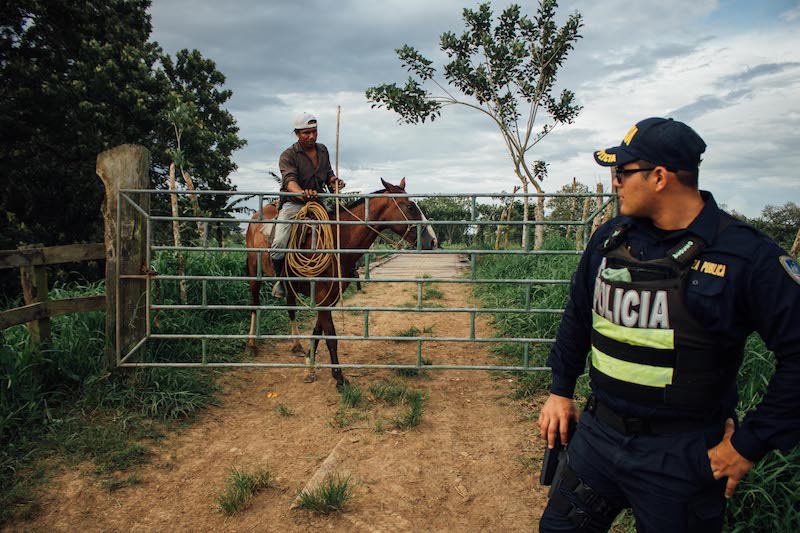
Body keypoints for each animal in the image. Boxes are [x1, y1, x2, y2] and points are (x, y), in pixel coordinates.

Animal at [245, 177, 438, 388]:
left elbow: (318, 330)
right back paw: (251, 345)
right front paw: (338, 376)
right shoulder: (322, 296)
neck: (338, 240)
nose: (432, 241)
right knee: (254, 305)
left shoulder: (331, 296)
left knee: (291, 309)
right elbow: (330, 336)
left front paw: (310, 364)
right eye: (410, 207)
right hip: (254, 273)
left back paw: (296, 345)